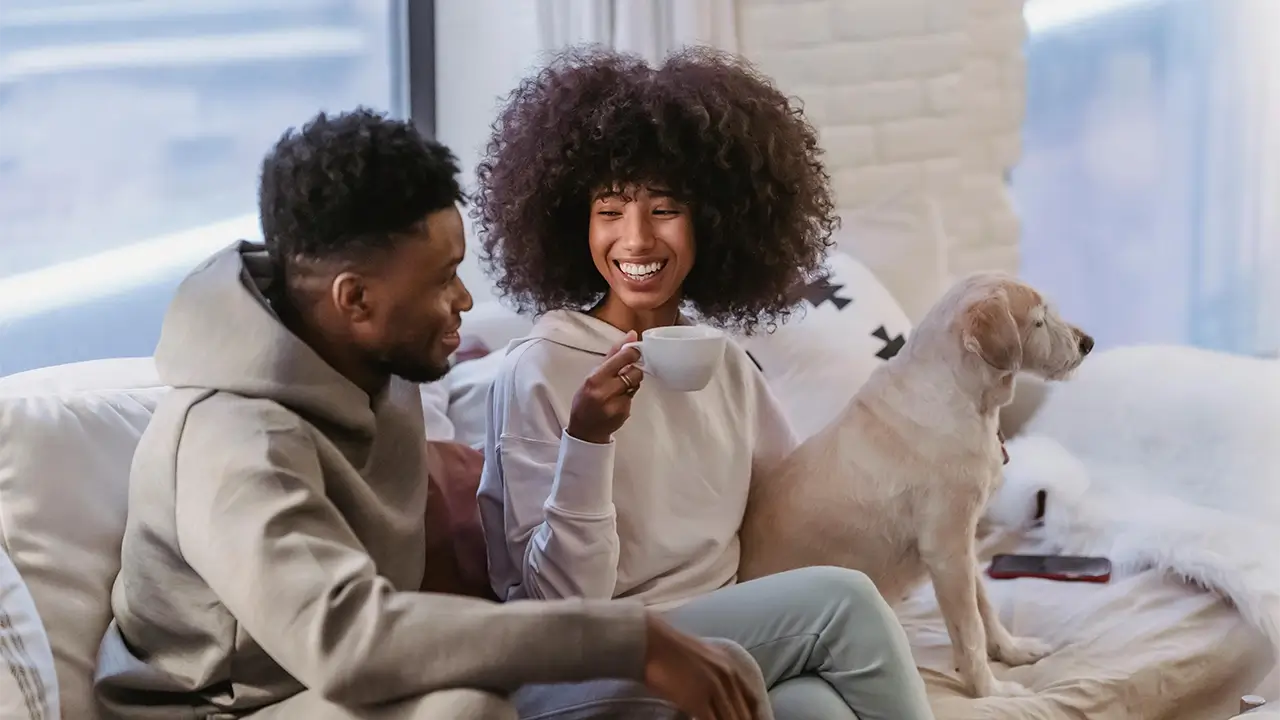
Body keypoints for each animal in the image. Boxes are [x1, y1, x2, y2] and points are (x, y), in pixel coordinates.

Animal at [742, 270, 1090, 696]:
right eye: (1040, 320)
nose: (1088, 343)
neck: (964, 396)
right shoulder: (946, 549)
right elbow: (970, 630)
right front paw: (989, 690)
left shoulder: (963, 543)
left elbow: (986, 608)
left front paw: (1010, 651)